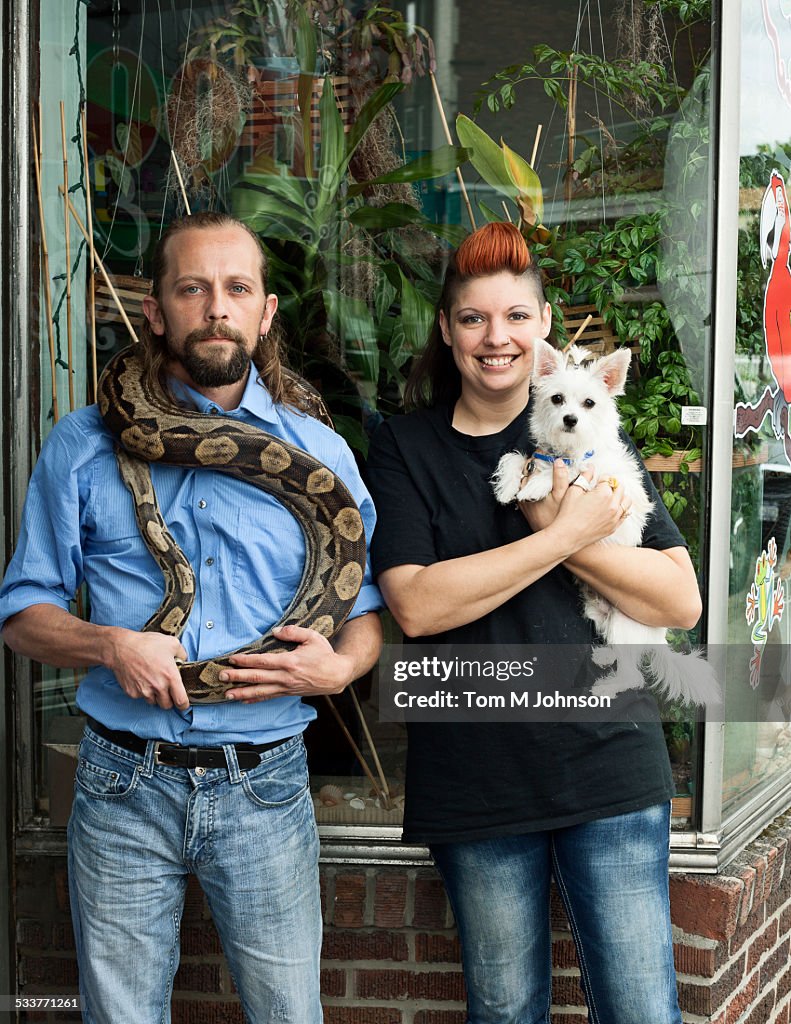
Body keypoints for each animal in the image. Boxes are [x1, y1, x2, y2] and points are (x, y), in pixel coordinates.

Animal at [493, 335, 721, 704]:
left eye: (589, 403)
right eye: (557, 399)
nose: (570, 419)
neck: (567, 450)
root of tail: (657, 637)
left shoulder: (607, 483)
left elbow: (575, 471)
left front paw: (538, 485)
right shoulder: (538, 455)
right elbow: (516, 457)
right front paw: (508, 485)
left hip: (625, 625)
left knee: (633, 675)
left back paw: (606, 687)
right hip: (600, 617)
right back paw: (604, 655)